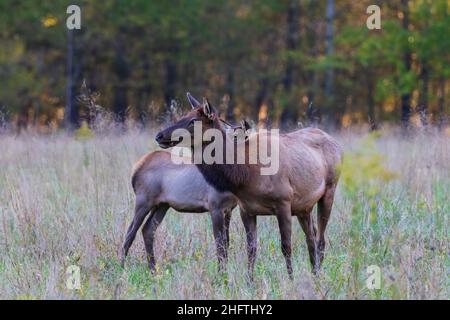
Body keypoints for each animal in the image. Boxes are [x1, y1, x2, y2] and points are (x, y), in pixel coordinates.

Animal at [156, 93, 342, 280]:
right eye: (182, 116)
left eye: (193, 120)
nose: (159, 135)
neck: (246, 175)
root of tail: (336, 143)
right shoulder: (246, 209)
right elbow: (251, 248)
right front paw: (249, 281)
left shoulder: (283, 201)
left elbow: (286, 246)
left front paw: (291, 279)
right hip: (303, 207)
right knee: (311, 236)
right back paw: (315, 273)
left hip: (329, 190)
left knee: (320, 239)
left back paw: (317, 275)